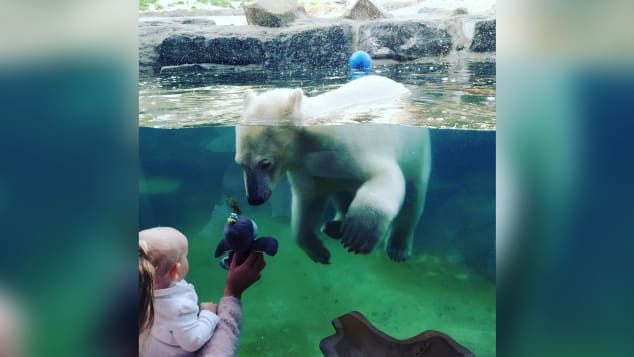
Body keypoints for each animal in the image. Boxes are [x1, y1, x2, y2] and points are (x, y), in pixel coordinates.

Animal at [233, 75, 430, 262]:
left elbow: (382, 175)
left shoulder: (347, 147)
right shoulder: (306, 167)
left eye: (265, 163)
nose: (254, 199)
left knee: (413, 197)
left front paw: (357, 236)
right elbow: (309, 200)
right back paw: (333, 227)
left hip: (418, 152)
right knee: (341, 192)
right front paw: (317, 250)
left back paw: (397, 249)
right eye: (240, 163)